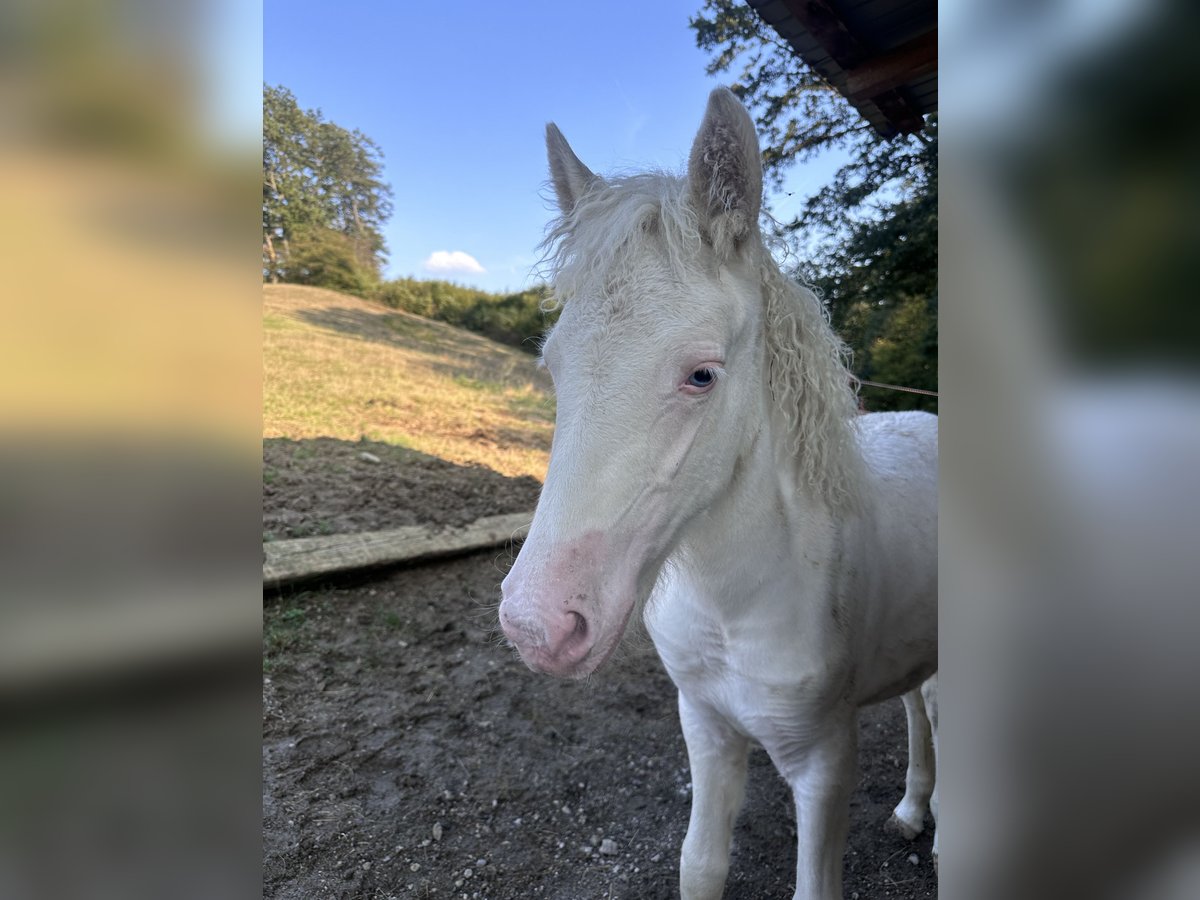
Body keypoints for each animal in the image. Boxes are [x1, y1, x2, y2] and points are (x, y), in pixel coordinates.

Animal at [496, 86, 936, 900]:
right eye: (553, 366)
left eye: (702, 374)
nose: (537, 627)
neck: (738, 603)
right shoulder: (703, 724)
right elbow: (700, 864)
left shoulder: (824, 763)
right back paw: (912, 808)